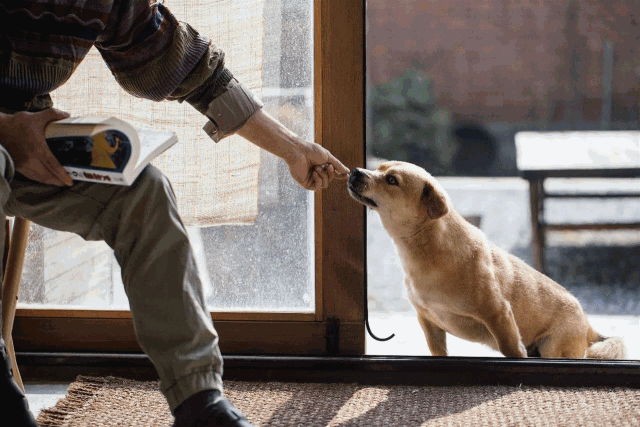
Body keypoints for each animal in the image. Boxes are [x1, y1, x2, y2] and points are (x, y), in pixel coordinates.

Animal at [350, 160, 624, 358]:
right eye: (378, 168)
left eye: (391, 180)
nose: (355, 172)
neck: (425, 250)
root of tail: (587, 324)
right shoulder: (428, 321)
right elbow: (438, 352)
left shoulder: (498, 314)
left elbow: (511, 349)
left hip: (554, 348)